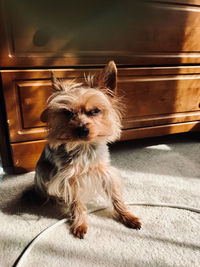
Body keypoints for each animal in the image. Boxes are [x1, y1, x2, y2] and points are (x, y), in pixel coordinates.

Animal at [34, 60, 141, 239]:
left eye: (95, 111)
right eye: (67, 113)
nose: (82, 130)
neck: (83, 147)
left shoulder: (103, 170)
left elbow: (115, 195)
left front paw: (127, 216)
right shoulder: (69, 178)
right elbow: (75, 201)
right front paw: (79, 223)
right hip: (42, 171)